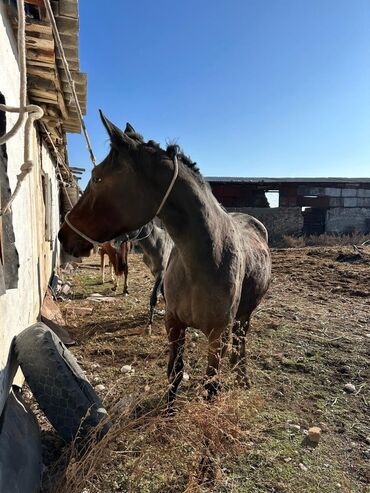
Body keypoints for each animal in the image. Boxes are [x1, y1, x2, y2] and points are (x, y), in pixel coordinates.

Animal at [58, 112, 272, 408]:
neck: (204, 260)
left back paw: (242, 376)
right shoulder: (174, 323)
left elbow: (210, 385)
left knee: (241, 342)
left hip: (244, 315)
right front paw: (169, 409)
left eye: (98, 178)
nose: (62, 235)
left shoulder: (218, 335)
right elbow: (175, 372)